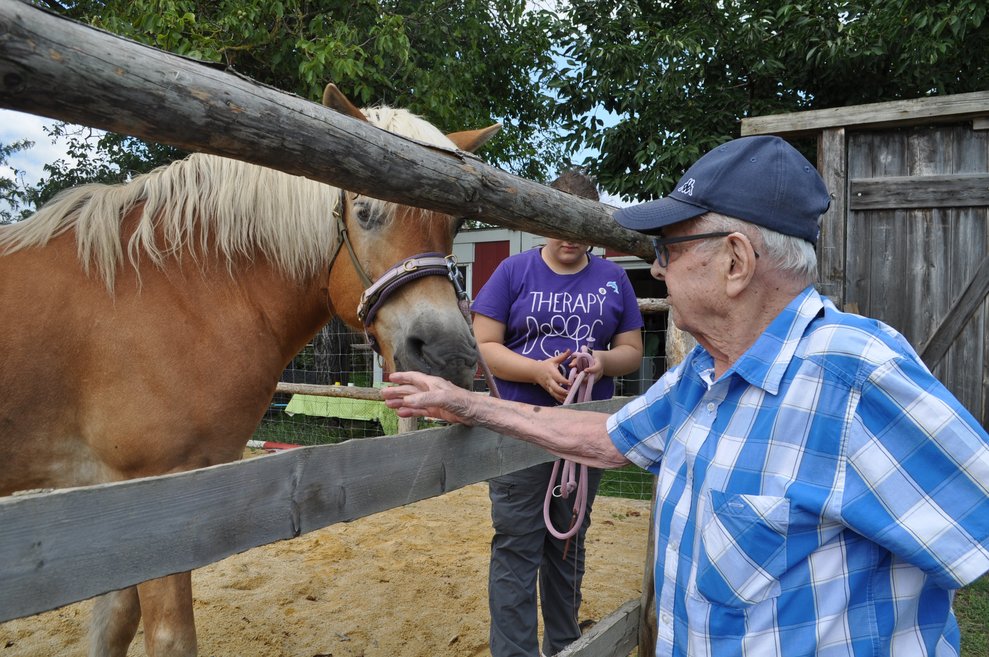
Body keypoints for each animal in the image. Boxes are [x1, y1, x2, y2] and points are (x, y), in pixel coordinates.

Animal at [0, 83, 500, 657]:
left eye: (454, 224)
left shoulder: (123, 509)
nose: (448, 356)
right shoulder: (160, 503)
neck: (172, 287)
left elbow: (114, 625)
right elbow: (170, 639)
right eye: (365, 211)